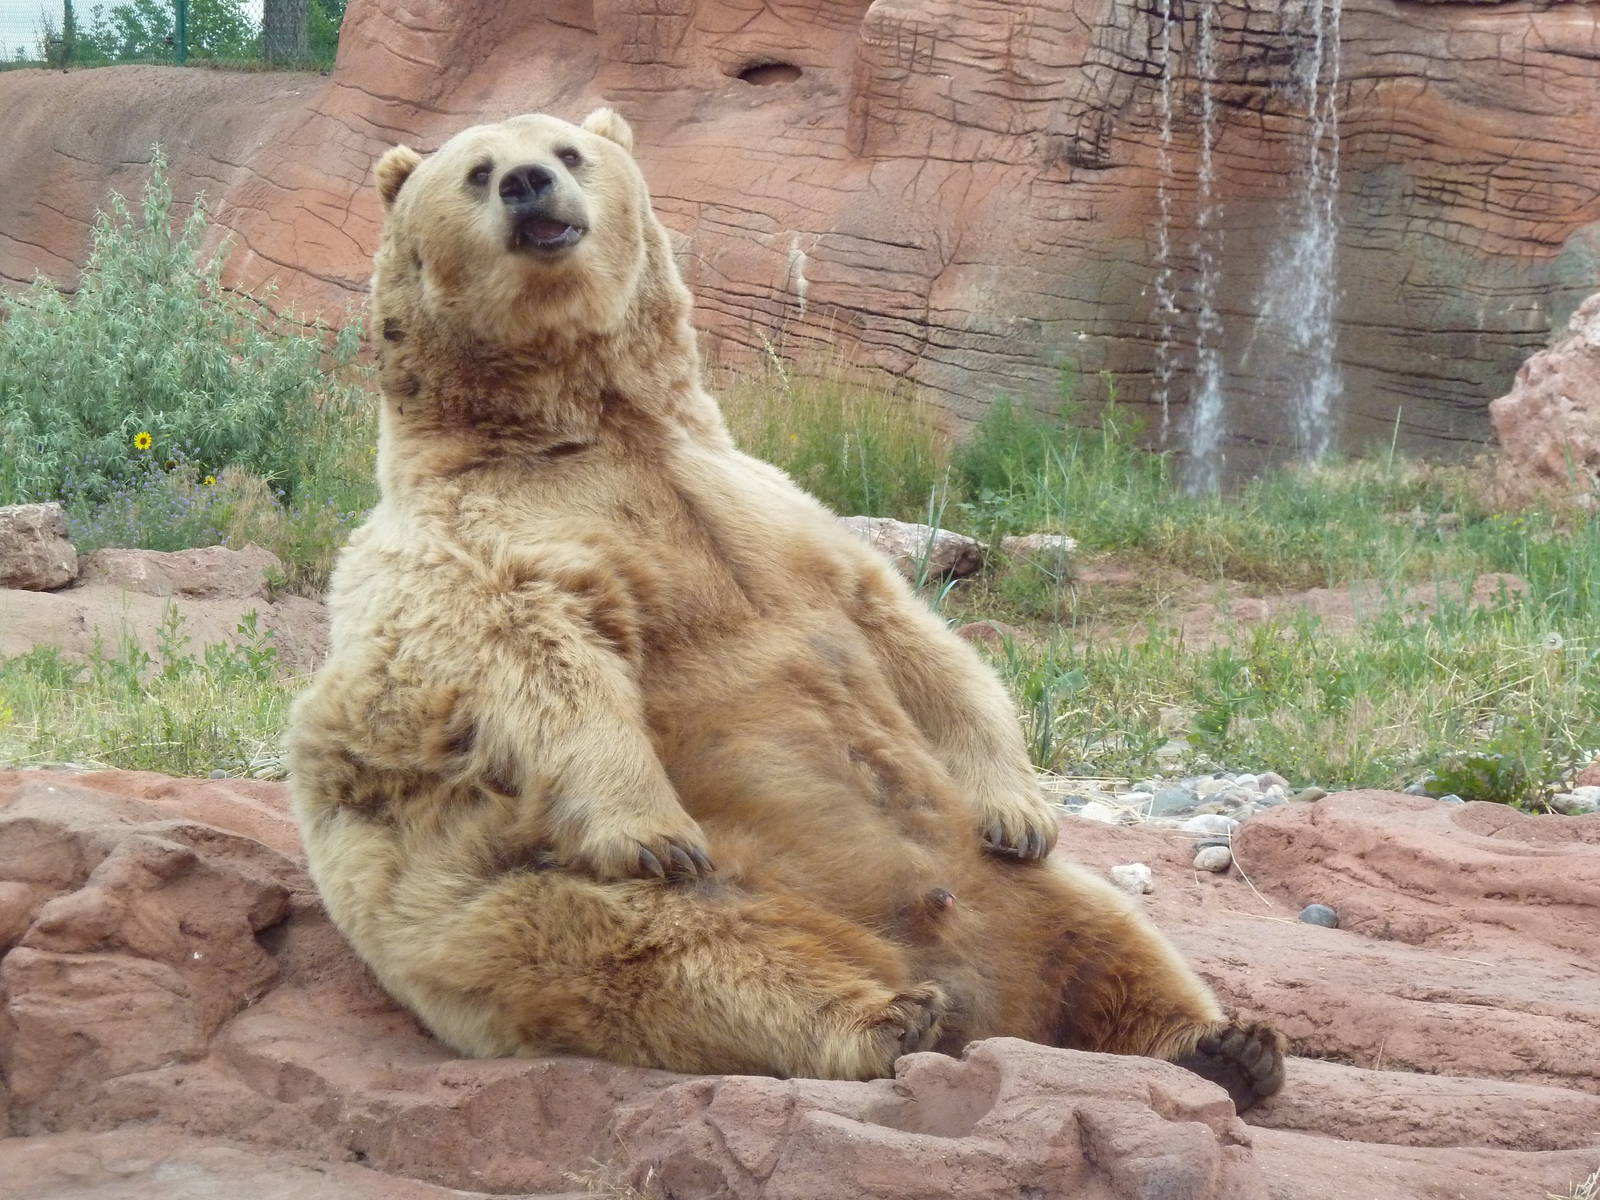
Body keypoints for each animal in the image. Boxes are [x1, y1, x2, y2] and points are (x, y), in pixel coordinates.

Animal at [287, 107, 1285, 1108]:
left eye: (568, 150)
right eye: (476, 169)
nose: (529, 184)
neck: (592, 425)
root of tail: (972, 979)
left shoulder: (775, 512)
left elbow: (915, 639)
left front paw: (1019, 808)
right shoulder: (482, 547)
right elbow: (537, 662)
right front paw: (650, 830)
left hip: (1011, 889)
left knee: (1110, 937)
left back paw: (1223, 1043)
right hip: (525, 892)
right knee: (681, 954)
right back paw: (891, 1015)